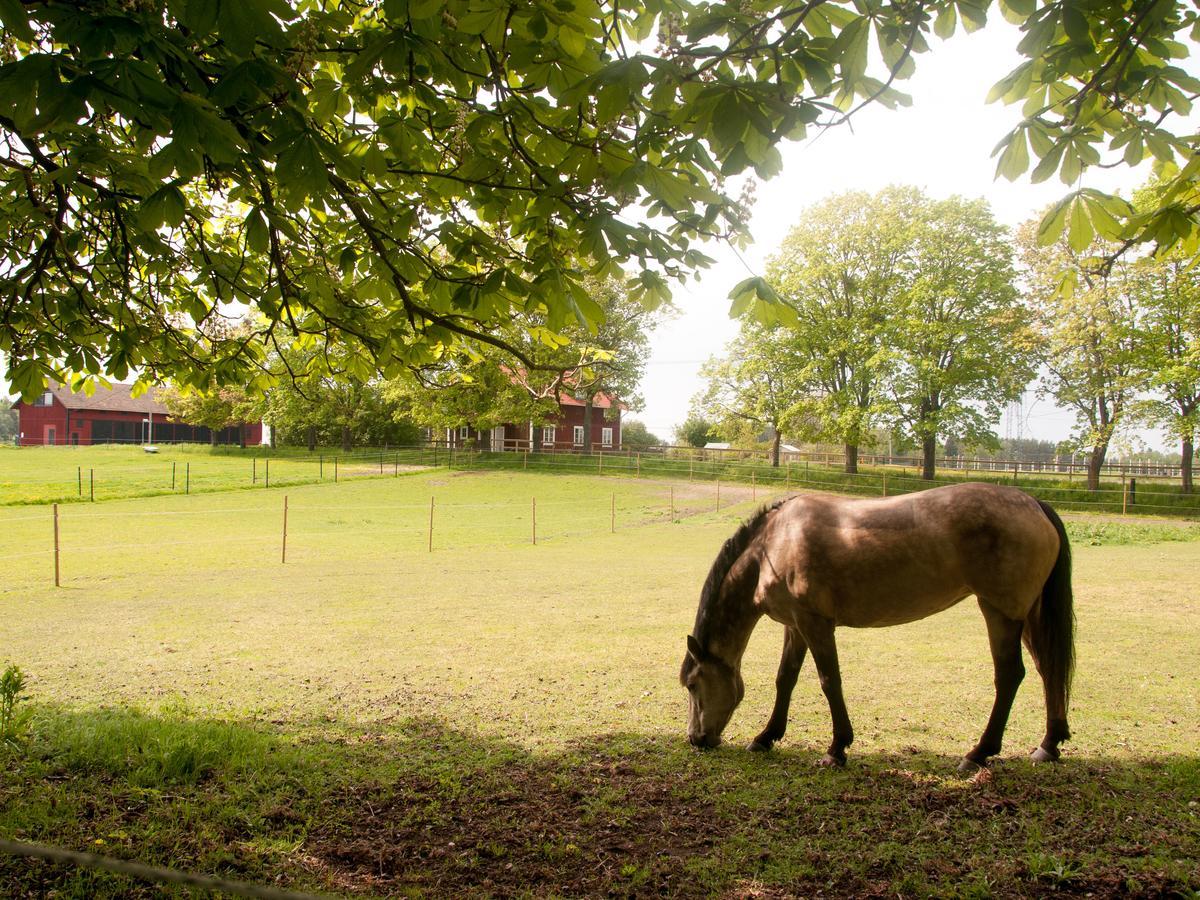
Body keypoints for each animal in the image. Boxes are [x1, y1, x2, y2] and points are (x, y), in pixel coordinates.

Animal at [681, 487, 1075, 777]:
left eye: (693, 684)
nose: (696, 738)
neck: (773, 545)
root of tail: (1034, 503)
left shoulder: (815, 623)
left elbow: (829, 681)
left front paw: (837, 748)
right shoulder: (795, 626)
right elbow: (785, 680)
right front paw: (766, 737)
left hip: (999, 612)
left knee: (1009, 675)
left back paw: (978, 753)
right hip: (1028, 613)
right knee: (1048, 670)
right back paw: (1048, 744)